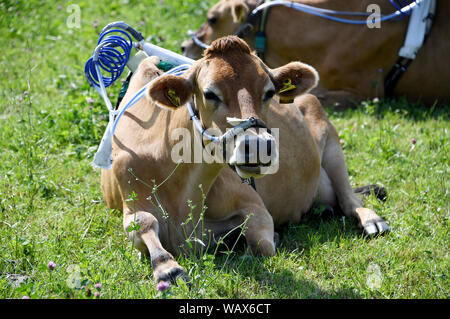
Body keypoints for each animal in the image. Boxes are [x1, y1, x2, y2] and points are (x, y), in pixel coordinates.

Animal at [100, 36, 388, 288]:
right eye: (210, 93)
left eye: (269, 92)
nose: (258, 146)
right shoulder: (130, 197)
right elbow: (142, 222)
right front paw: (167, 267)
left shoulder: (254, 204)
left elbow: (262, 244)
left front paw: (268, 238)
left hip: (329, 138)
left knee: (349, 197)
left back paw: (372, 220)